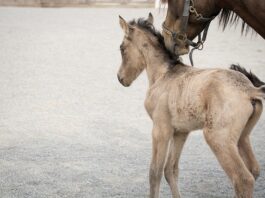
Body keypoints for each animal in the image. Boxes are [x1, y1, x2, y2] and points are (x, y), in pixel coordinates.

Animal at [116, 13, 262, 197]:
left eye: (121, 48)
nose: (120, 78)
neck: (164, 74)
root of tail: (250, 90)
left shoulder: (160, 130)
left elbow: (154, 172)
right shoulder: (181, 132)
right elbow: (170, 170)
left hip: (218, 138)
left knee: (243, 178)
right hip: (242, 137)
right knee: (254, 170)